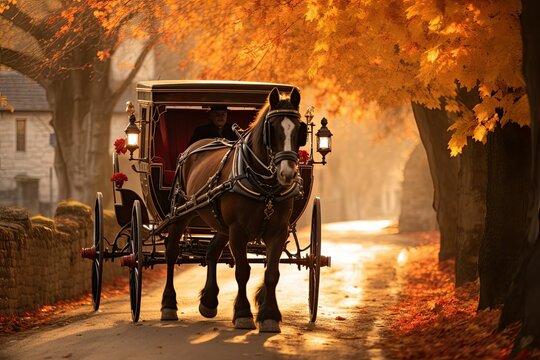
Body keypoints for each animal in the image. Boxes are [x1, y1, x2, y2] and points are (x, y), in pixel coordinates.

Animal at [160, 86, 308, 332]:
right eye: (272, 129)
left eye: (299, 129)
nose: (287, 174)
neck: (265, 188)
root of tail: (192, 148)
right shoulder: (238, 231)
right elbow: (243, 271)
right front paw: (243, 313)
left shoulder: (278, 230)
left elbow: (272, 273)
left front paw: (269, 315)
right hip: (181, 213)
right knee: (171, 253)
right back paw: (169, 305)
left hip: (220, 223)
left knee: (211, 252)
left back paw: (209, 301)